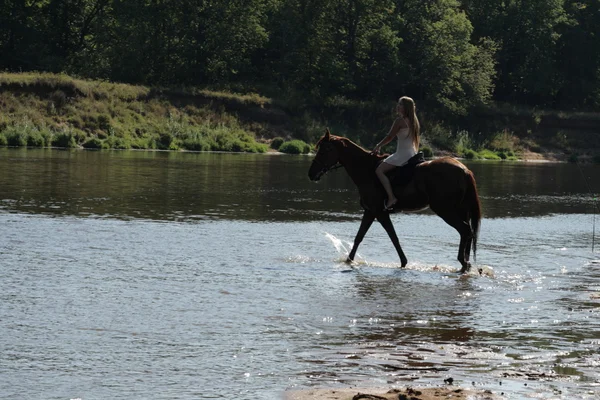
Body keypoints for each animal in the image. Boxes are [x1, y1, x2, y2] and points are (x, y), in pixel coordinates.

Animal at [308, 130, 480, 274]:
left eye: (324, 150)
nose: (311, 173)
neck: (367, 170)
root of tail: (464, 170)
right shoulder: (370, 211)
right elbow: (359, 237)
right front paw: (349, 260)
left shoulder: (379, 212)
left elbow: (393, 237)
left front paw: (403, 262)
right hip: (460, 210)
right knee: (469, 232)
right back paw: (467, 264)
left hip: (445, 210)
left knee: (465, 230)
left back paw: (463, 263)